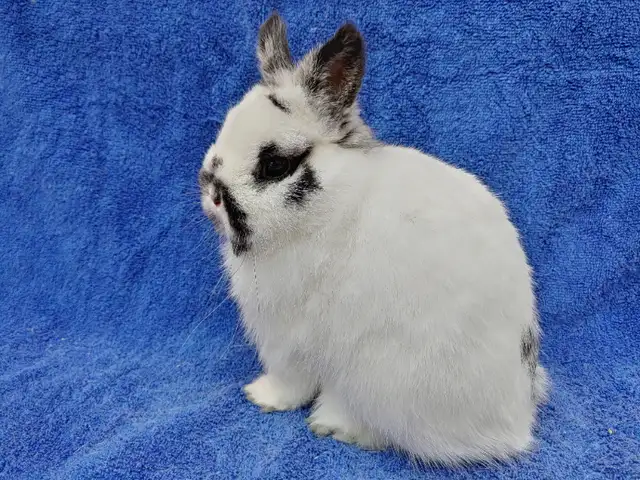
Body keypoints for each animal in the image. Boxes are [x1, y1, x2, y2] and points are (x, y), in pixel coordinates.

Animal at [199, 12, 549, 464]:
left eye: (275, 165)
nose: (212, 192)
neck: (328, 210)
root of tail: (511, 429)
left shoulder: (286, 337)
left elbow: (289, 380)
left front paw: (261, 396)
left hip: (382, 380)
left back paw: (333, 424)